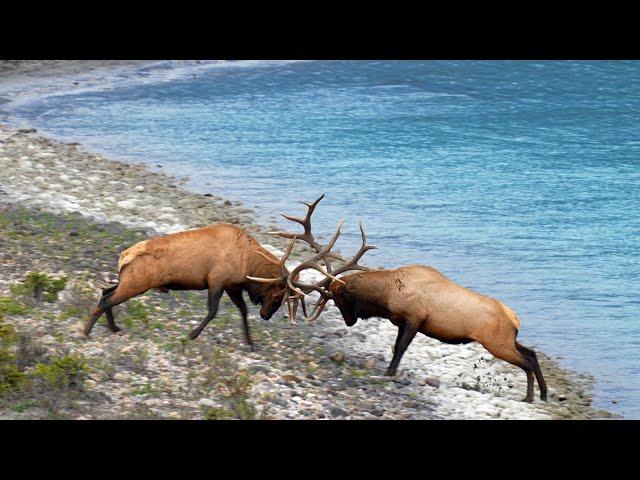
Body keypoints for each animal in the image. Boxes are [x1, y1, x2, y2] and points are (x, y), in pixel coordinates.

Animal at [84, 221, 302, 348]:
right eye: (277, 296)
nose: (266, 315)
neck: (248, 263)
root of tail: (124, 256)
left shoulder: (232, 286)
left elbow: (243, 310)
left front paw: (249, 341)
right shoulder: (216, 280)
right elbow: (213, 311)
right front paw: (192, 334)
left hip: (128, 281)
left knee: (106, 292)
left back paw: (113, 327)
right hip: (137, 283)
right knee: (108, 299)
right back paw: (87, 331)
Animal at [255, 195, 552, 402]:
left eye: (338, 298)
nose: (349, 322)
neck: (386, 297)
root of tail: (515, 318)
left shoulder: (414, 318)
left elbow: (400, 349)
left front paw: (390, 372)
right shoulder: (402, 321)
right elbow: (396, 347)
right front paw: (389, 371)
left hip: (496, 342)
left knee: (526, 361)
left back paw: (529, 396)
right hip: (506, 339)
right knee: (532, 352)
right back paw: (543, 393)